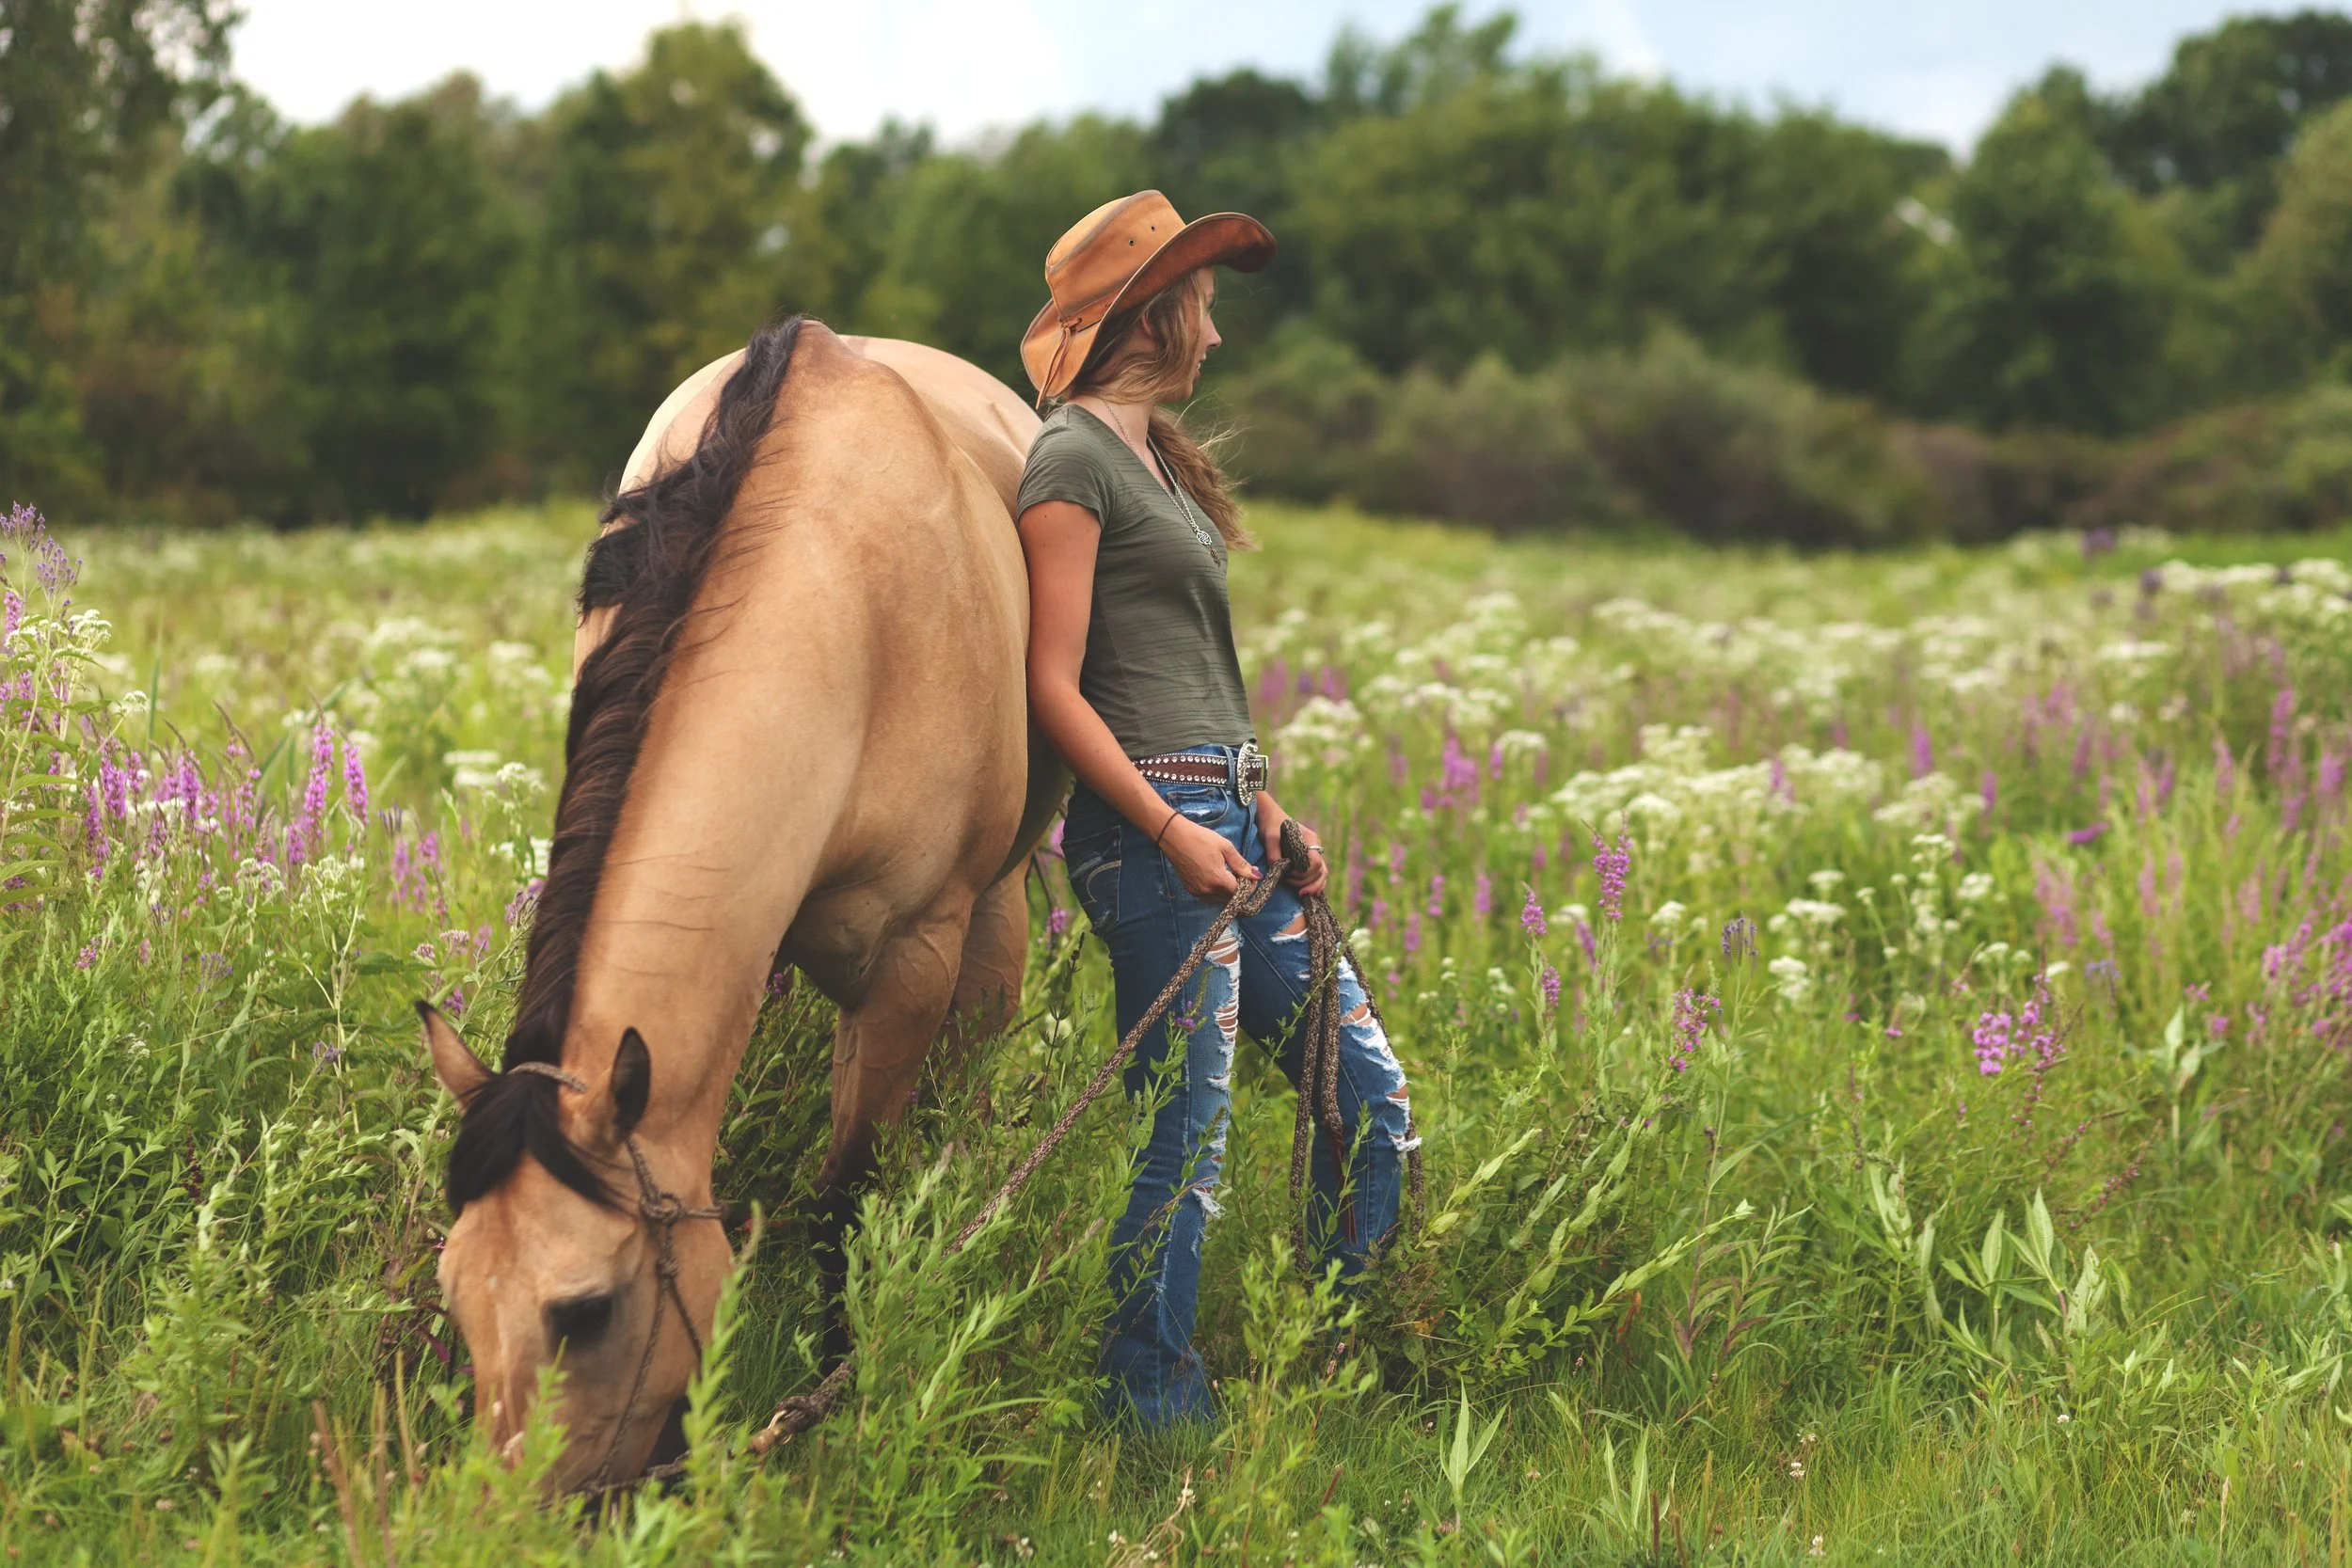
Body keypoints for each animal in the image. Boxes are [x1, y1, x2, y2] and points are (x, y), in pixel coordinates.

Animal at [416, 319, 1062, 1492]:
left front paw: (838, 1378)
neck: (839, 606)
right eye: (454, 1296)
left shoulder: (910, 959)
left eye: (585, 1309)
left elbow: (844, 1194)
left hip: (990, 905)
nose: (512, 1511)